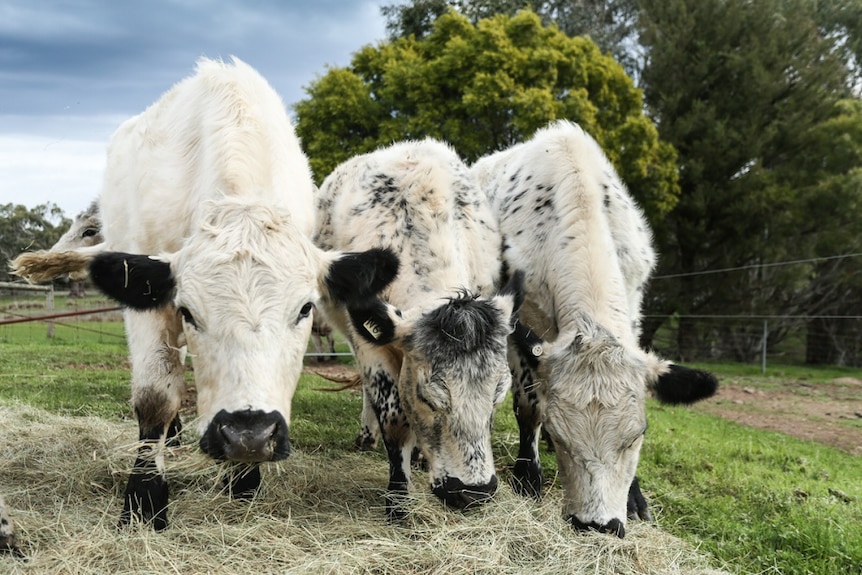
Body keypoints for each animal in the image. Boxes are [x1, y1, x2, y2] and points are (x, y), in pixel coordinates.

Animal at [8, 57, 400, 532]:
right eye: (190, 311)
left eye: (306, 308)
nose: (249, 434)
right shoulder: (151, 302)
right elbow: (155, 397)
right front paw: (144, 500)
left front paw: (243, 481)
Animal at [314, 140, 524, 516]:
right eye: (428, 397)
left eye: (498, 395)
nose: (473, 492)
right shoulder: (371, 343)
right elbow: (394, 418)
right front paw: (397, 501)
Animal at [470, 121, 720, 540]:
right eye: (560, 436)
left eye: (639, 434)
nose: (597, 525)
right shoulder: (523, 331)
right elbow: (528, 407)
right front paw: (528, 476)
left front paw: (635, 497)